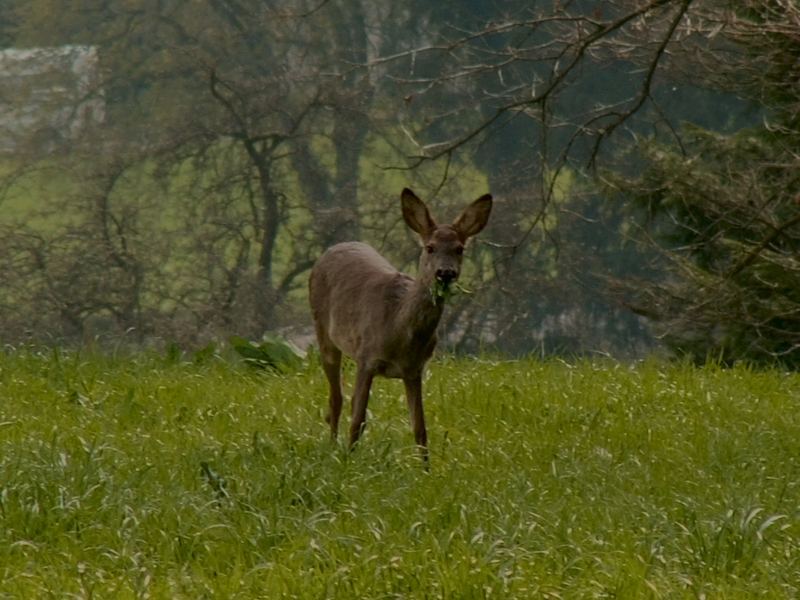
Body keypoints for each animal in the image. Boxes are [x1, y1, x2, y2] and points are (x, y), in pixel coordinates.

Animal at [308, 188, 490, 460]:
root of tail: (332, 248)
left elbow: (420, 428)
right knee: (336, 398)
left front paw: (426, 467)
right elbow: (358, 419)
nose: (445, 273)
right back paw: (332, 448)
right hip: (323, 330)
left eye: (459, 249)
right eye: (430, 247)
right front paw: (349, 461)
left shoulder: (414, 369)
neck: (399, 328)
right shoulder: (367, 357)